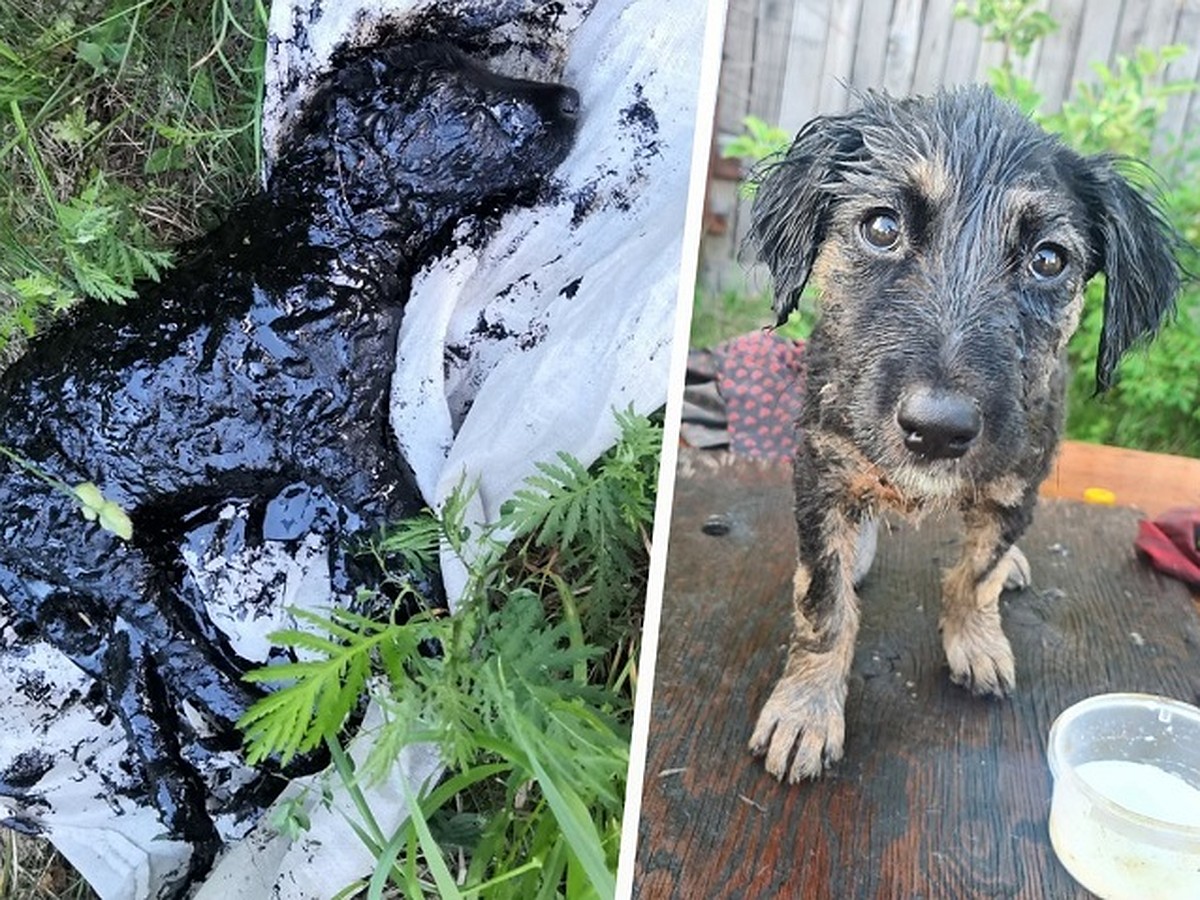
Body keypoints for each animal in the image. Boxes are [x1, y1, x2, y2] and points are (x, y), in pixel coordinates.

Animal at [0, 44, 576, 873]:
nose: (569, 101)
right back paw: (265, 736)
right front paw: (443, 635)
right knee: (167, 643)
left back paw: (190, 806)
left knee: (131, 668)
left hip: (86, 573)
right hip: (77, 529)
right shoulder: (333, 436)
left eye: (480, 63)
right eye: (459, 106)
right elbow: (406, 524)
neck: (315, 247)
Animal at [748, 88, 1180, 787]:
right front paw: (806, 711)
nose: (937, 429)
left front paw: (976, 642)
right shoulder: (821, 466)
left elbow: (976, 574)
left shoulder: (1016, 482)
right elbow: (823, 602)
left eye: (1048, 260)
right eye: (881, 228)